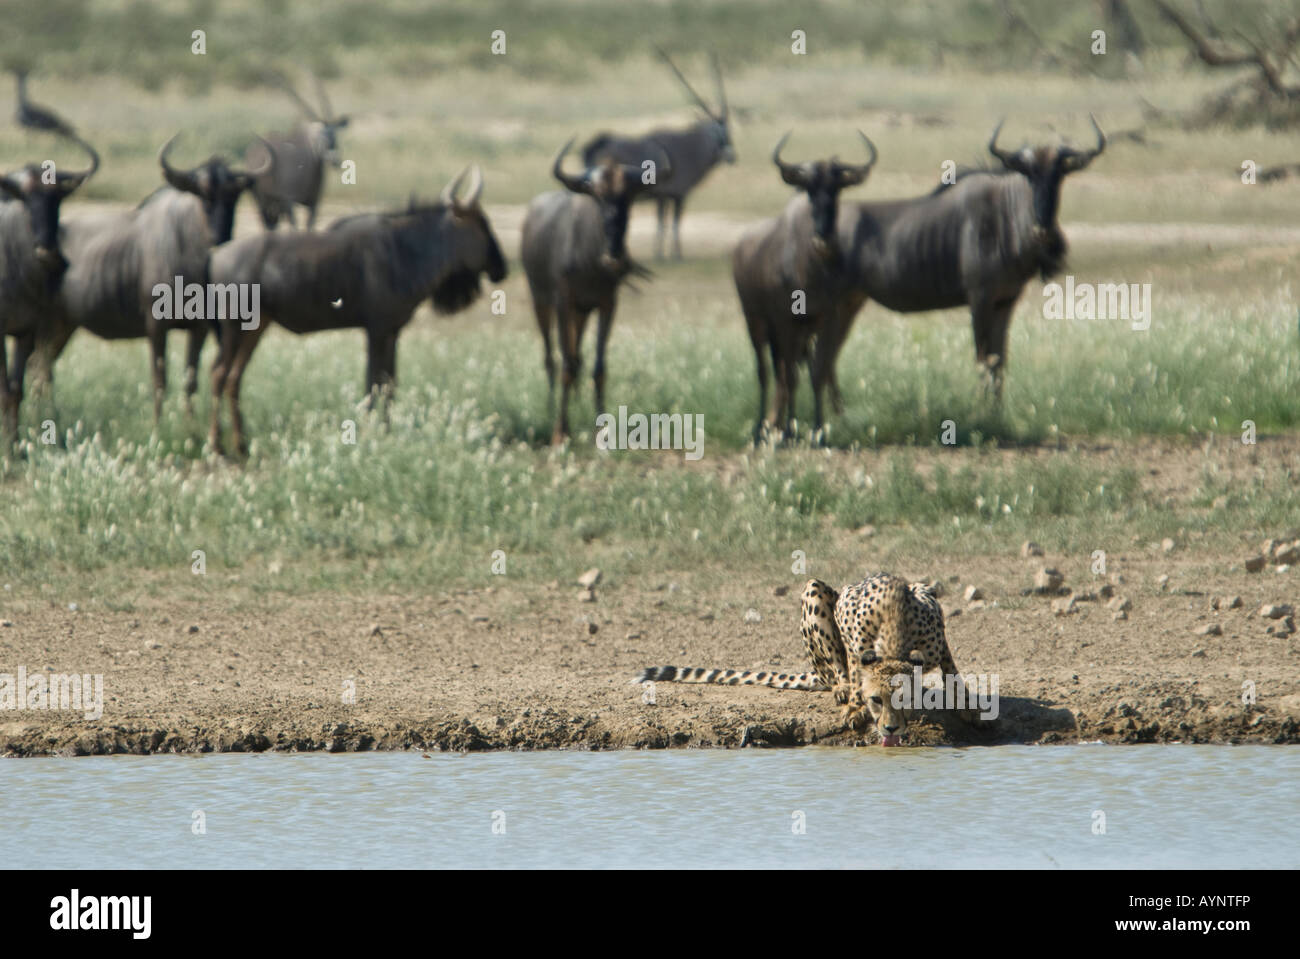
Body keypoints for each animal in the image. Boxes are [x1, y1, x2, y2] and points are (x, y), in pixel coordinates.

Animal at [634, 571, 972, 743]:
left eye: (904, 700)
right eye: (877, 700)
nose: (891, 729)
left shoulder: (935, 636)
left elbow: (950, 668)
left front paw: (967, 704)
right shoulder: (850, 630)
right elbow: (852, 668)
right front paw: (855, 706)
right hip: (813, 591)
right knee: (836, 672)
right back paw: (842, 690)